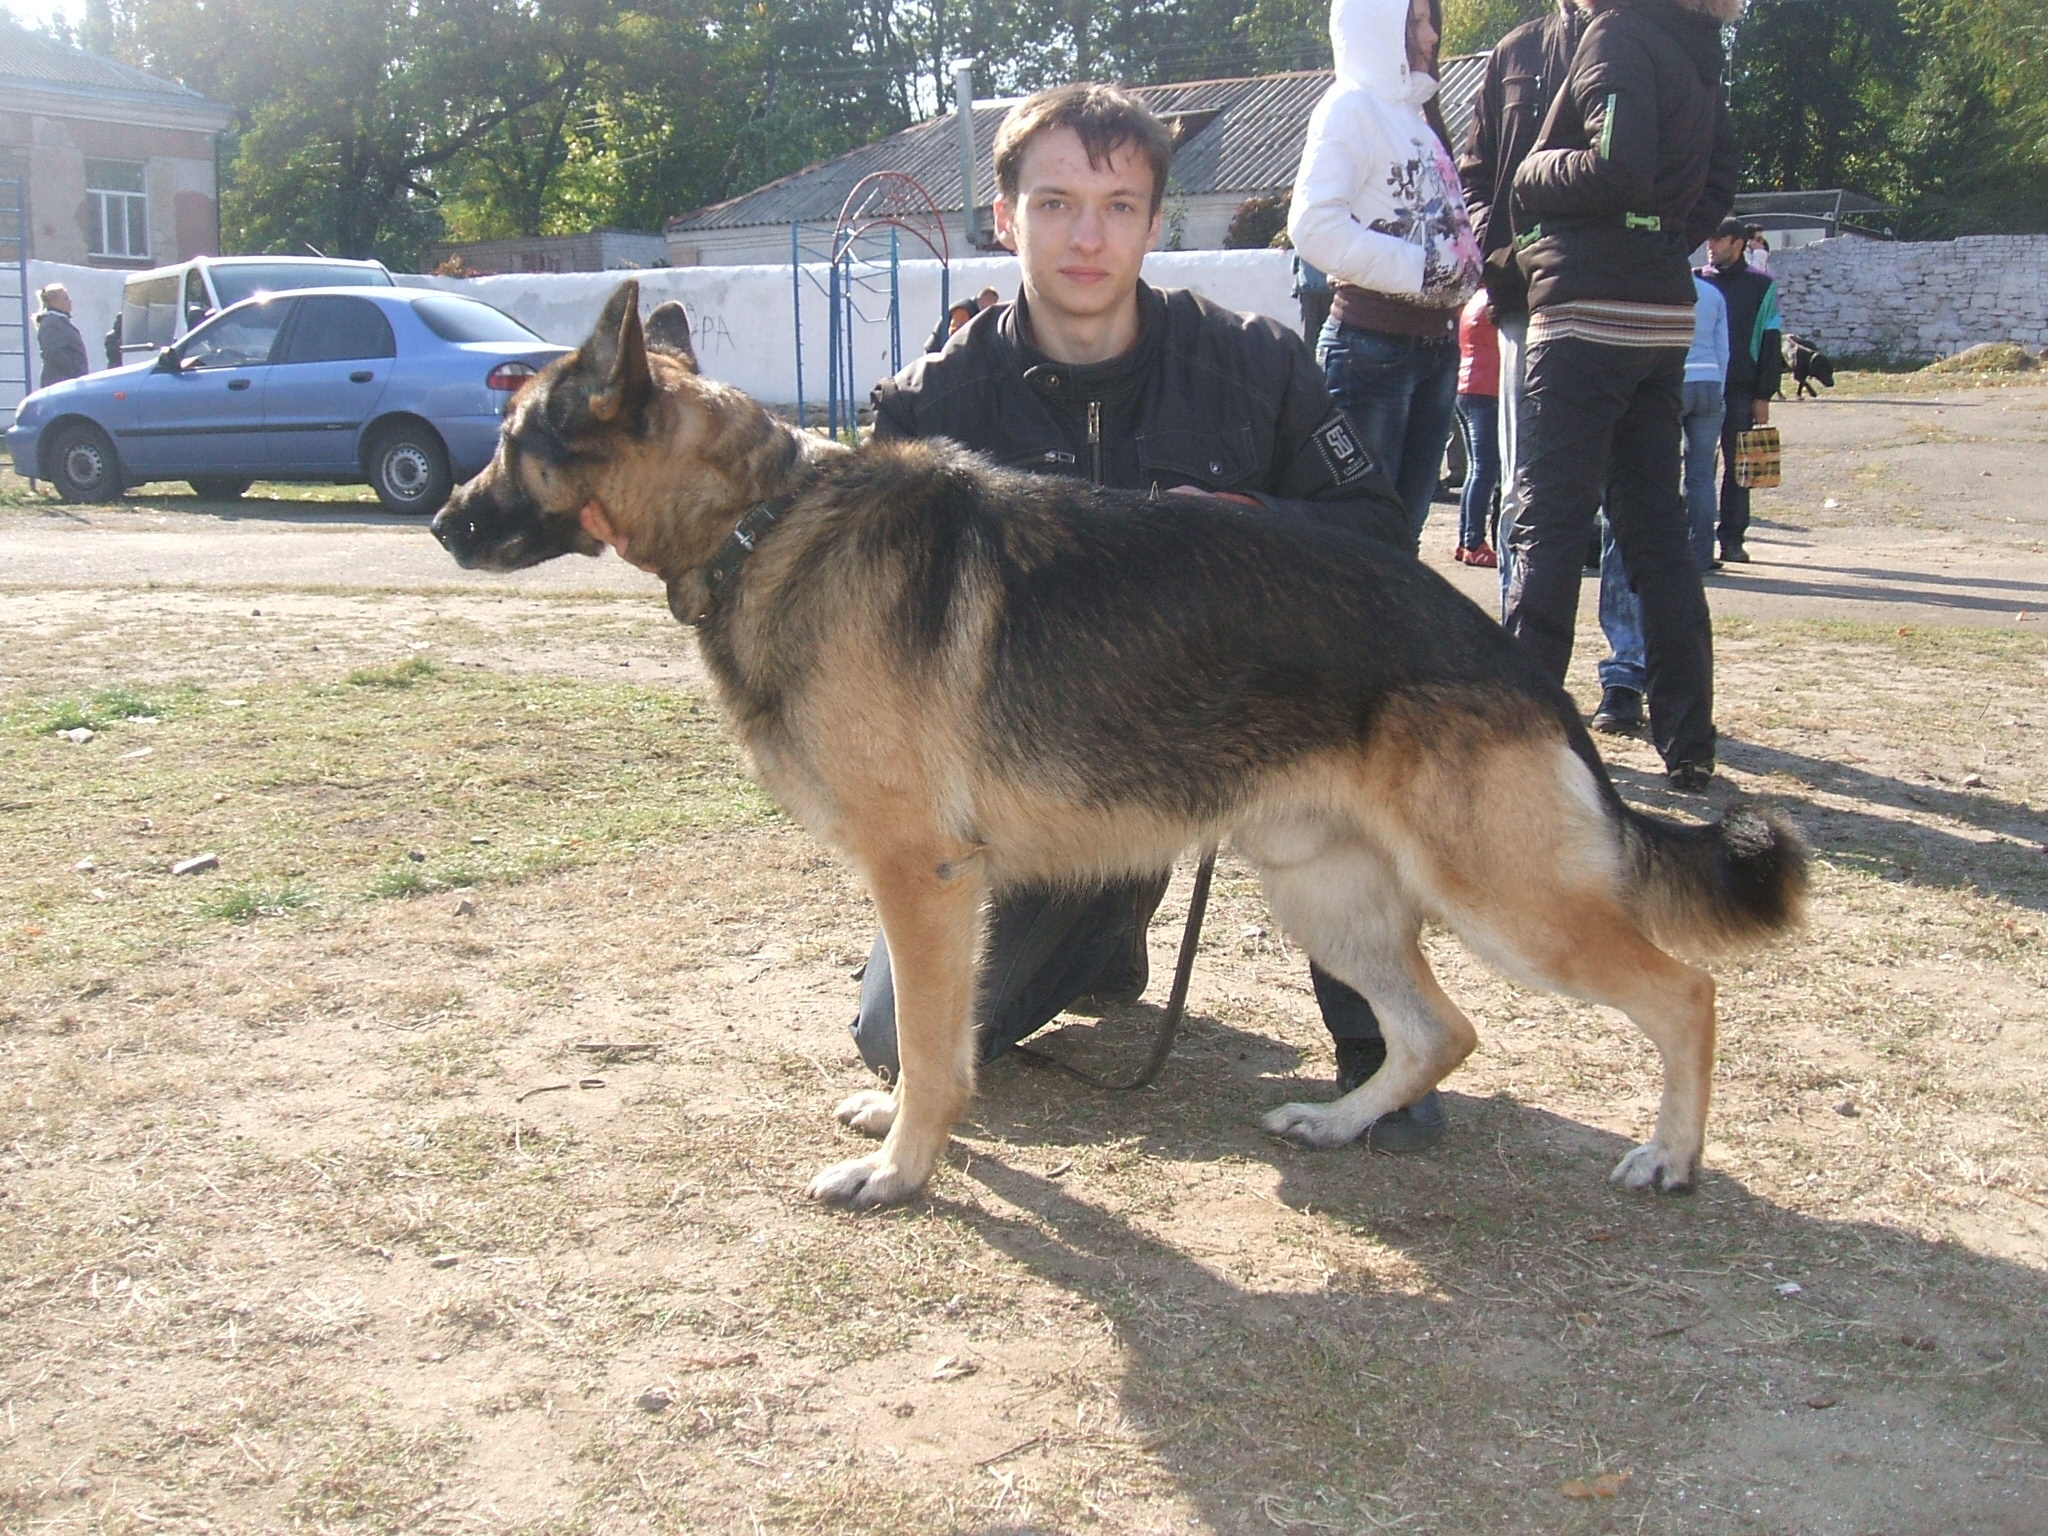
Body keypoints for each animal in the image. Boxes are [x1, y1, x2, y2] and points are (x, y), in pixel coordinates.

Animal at [431, 281, 1807, 1210]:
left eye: (510, 442)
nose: (439, 520)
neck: (758, 521)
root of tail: (1519, 663)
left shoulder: (921, 879)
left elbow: (928, 1043)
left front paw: (902, 1171)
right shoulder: (943, 894)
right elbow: (942, 1042)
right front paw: (912, 1132)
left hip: (1505, 904)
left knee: (1683, 992)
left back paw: (1668, 1153)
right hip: (1327, 897)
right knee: (1437, 1033)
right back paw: (1342, 1122)